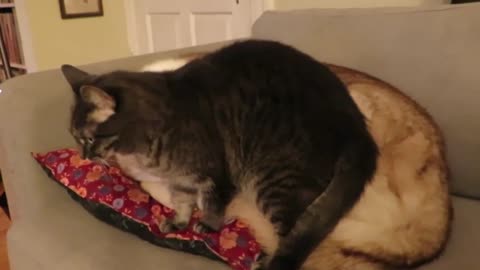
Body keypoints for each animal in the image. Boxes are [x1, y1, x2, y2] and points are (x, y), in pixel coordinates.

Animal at [62, 40, 378, 270]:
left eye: (87, 138)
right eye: (76, 138)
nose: (84, 156)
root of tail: (358, 127)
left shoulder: (219, 172)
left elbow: (213, 202)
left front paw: (208, 224)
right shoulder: (179, 179)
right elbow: (182, 201)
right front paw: (179, 222)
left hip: (275, 181)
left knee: (296, 234)